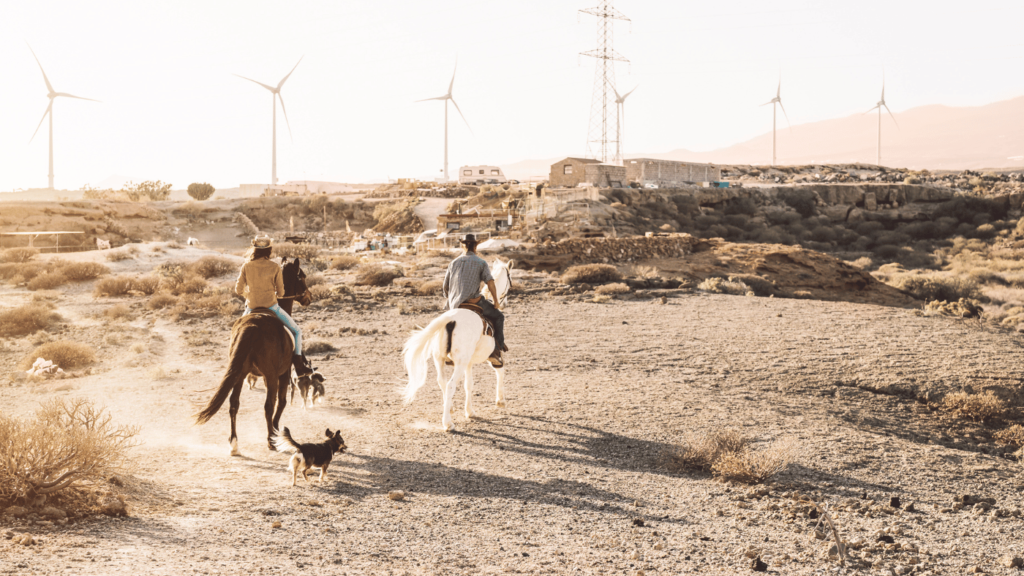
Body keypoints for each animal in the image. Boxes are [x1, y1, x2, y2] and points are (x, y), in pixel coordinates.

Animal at [195, 255, 315, 453]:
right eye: (302, 277)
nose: (309, 298)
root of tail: (251, 325)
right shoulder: (283, 373)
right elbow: (281, 402)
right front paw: (275, 432)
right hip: (270, 375)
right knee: (268, 405)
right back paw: (270, 440)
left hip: (240, 373)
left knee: (233, 404)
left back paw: (234, 443)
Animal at [399, 258, 512, 428]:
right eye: (509, 280)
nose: (502, 304)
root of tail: (450, 319)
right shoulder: (494, 356)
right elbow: (500, 371)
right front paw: (500, 401)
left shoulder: (469, 363)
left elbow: (469, 385)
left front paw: (469, 412)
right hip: (459, 362)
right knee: (451, 384)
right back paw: (447, 423)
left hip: (440, 359)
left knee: (442, 382)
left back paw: (449, 407)